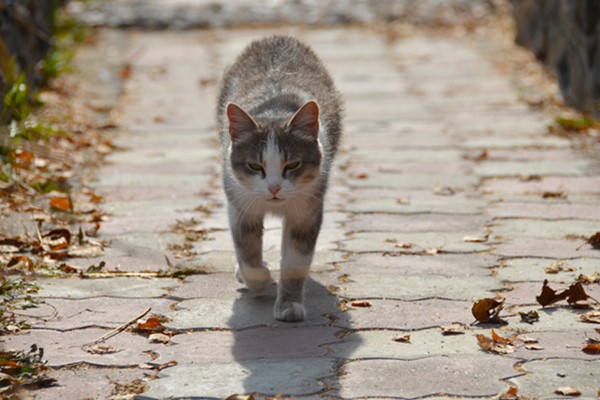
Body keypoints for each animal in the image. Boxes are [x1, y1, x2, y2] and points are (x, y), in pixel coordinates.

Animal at [218, 34, 342, 322]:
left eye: (293, 164)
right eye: (254, 165)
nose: (274, 188)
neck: (273, 111)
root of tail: (277, 38)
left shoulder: (306, 210)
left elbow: (295, 262)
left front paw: (289, 305)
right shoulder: (239, 202)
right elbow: (246, 248)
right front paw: (258, 278)